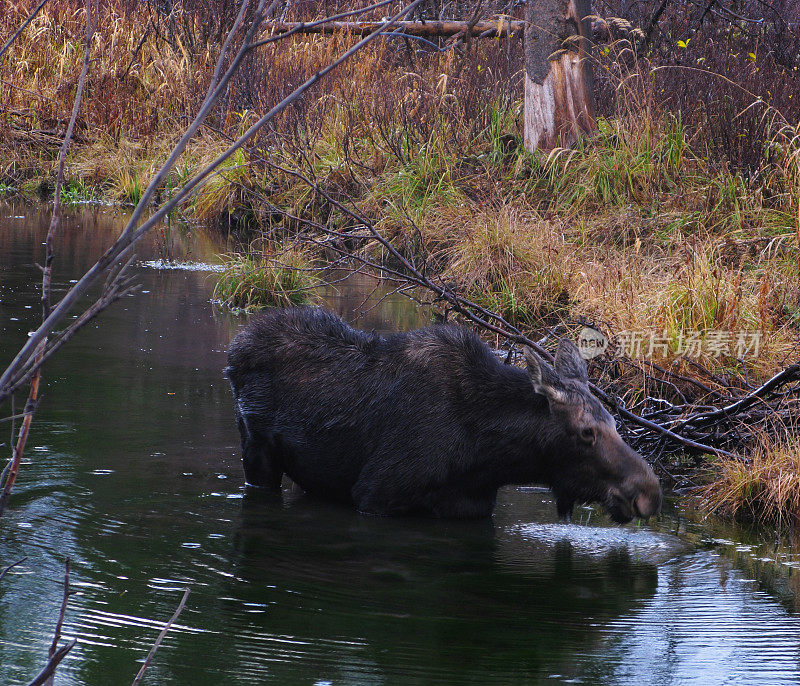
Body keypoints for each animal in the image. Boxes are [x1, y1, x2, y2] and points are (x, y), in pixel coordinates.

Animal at [225, 306, 664, 520]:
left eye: (615, 423)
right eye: (587, 431)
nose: (649, 493)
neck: (487, 455)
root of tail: (235, 346)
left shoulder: (470, 509)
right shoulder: (376, 494)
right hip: (257, 452)